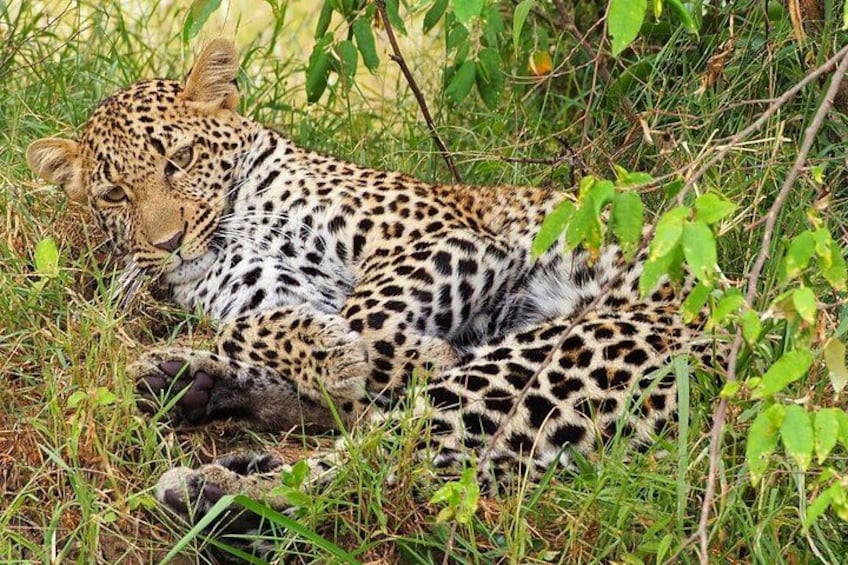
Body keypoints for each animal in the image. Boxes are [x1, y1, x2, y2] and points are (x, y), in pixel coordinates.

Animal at [26, 39, 716, 555]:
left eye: (182, 157)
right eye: (114, 195)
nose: (168, 243)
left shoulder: (444, 237)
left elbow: (364, 317)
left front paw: (401, 355)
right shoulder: (258, 291)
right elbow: (259, 328)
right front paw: (336, 356)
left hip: (547, 364)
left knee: (376, 468)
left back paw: (207, 489)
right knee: (360, 442)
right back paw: (187, 385)